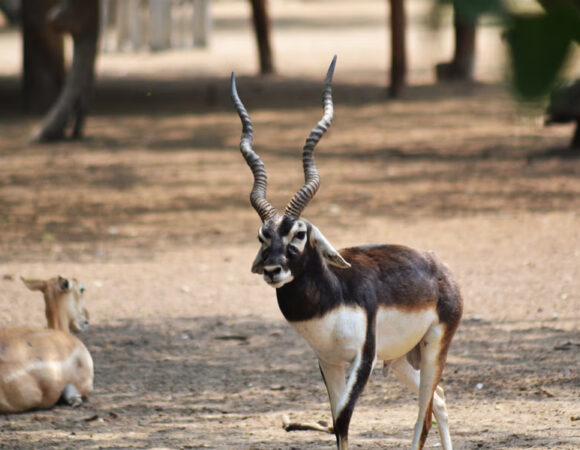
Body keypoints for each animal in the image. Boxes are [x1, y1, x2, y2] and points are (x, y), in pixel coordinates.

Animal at [231, 56, 462, 450]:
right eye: (263, 235)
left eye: (299, 233)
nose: (274, 270)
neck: (332, 298)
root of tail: (438, 266)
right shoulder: (328, 361)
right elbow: (338, 424)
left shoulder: (362, 359)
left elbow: (343, 417)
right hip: (398, 357)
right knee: (441, 399)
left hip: (434, 347)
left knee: (425, 413)